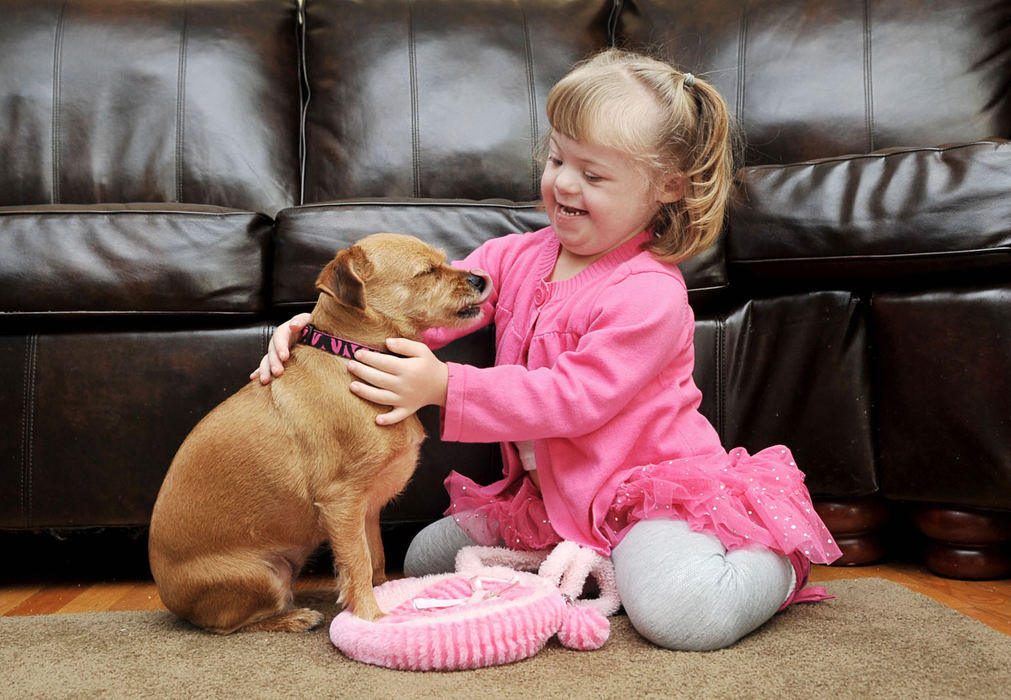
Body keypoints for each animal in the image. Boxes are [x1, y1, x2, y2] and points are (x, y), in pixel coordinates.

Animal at [149, 232, 493, 631]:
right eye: (426, 272)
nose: (480, 278)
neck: (351, 354)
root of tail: (172, 602)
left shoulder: (367, 509)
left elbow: (374, 559)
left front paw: (383, 592)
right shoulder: (342, 502)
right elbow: (357, 563)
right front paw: (372, 617)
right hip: (265, 575)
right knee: (231, 624)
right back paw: (294, 617)